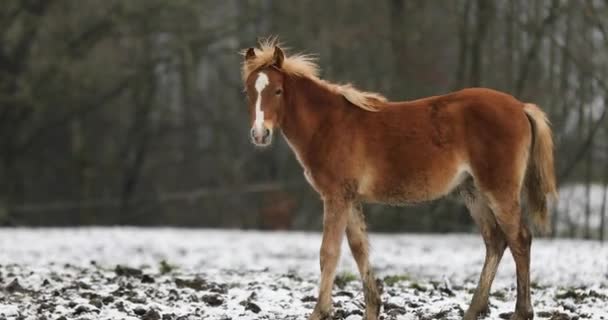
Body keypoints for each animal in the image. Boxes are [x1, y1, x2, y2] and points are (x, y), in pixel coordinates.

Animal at [241, 40, 556, 320]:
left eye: (278, 91)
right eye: (248, 92)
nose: (259, 134)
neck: (328, 124)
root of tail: (520, 106)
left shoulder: (336, 196)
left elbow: (329, 253)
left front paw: (320, 312)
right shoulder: (350, 198)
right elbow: (359, 249)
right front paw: (373, 308)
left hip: (498, 189)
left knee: (520, 239)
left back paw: (521, 312)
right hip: (473, 191)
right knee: (495, 241)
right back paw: (473, 311)